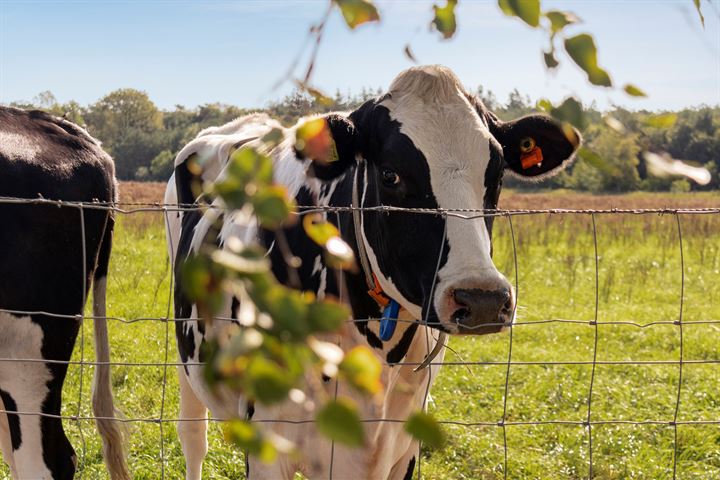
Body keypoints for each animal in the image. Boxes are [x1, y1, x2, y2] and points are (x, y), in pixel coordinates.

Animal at [165, 64, 580, 480]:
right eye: (390, 175)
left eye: (494, 177)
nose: (482, 299)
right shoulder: (268, 439)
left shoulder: (403, 445)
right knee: (193, 437)